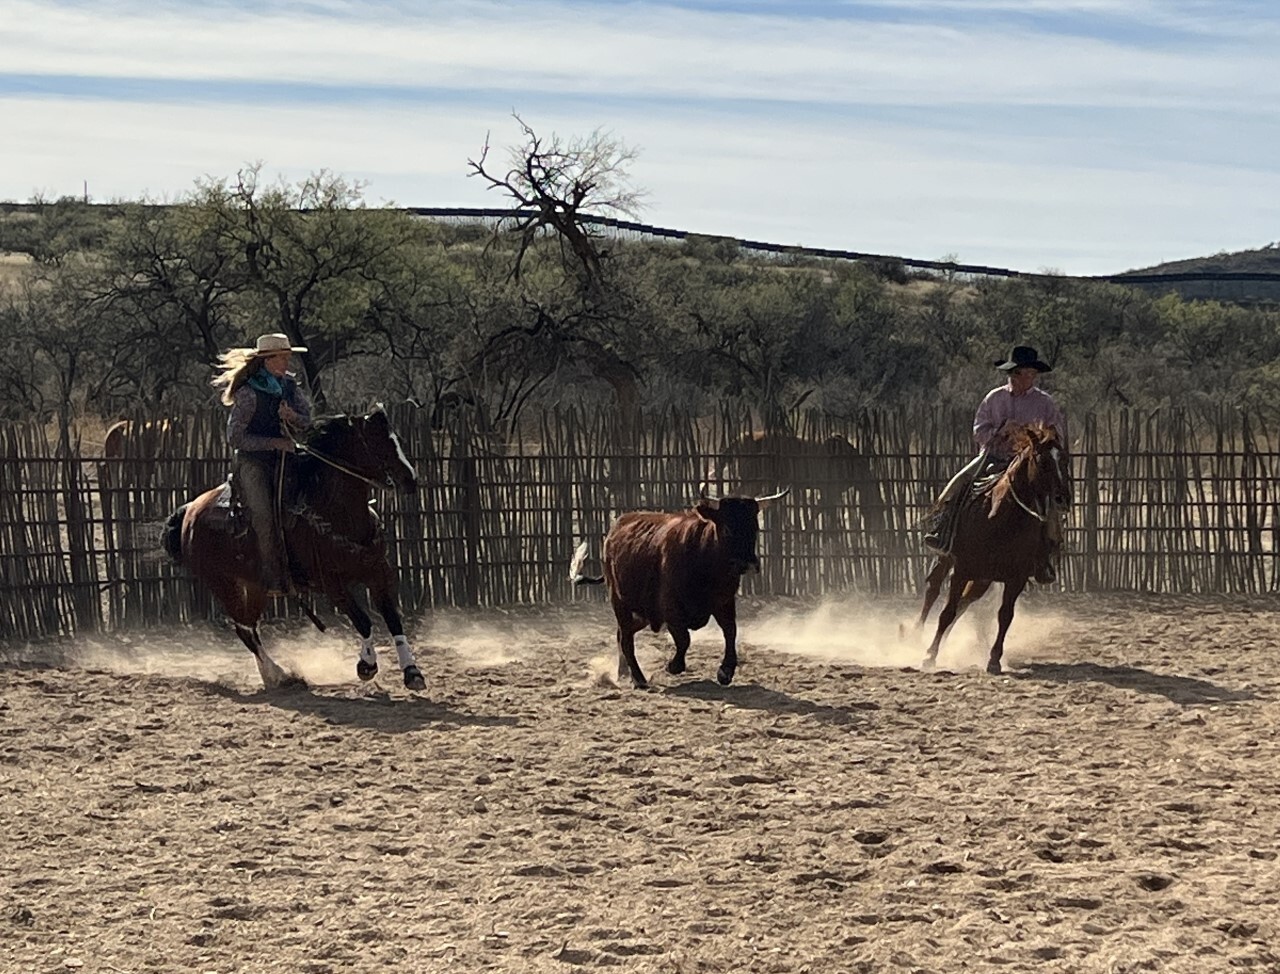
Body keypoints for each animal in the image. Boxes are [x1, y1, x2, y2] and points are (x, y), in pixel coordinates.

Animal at [570, 487, 788, 689]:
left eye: (755, 528)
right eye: (727, 528)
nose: (749, 564)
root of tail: (615, 529)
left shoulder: (724, 602)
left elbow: (730, 631)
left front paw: (725, 672)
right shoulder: (671, 609)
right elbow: (684, 639)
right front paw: (673, 666)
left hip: (643, 613)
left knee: (622, 634)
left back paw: (623, 673)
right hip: (619, 601)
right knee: (625, 638)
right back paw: (639, 679)